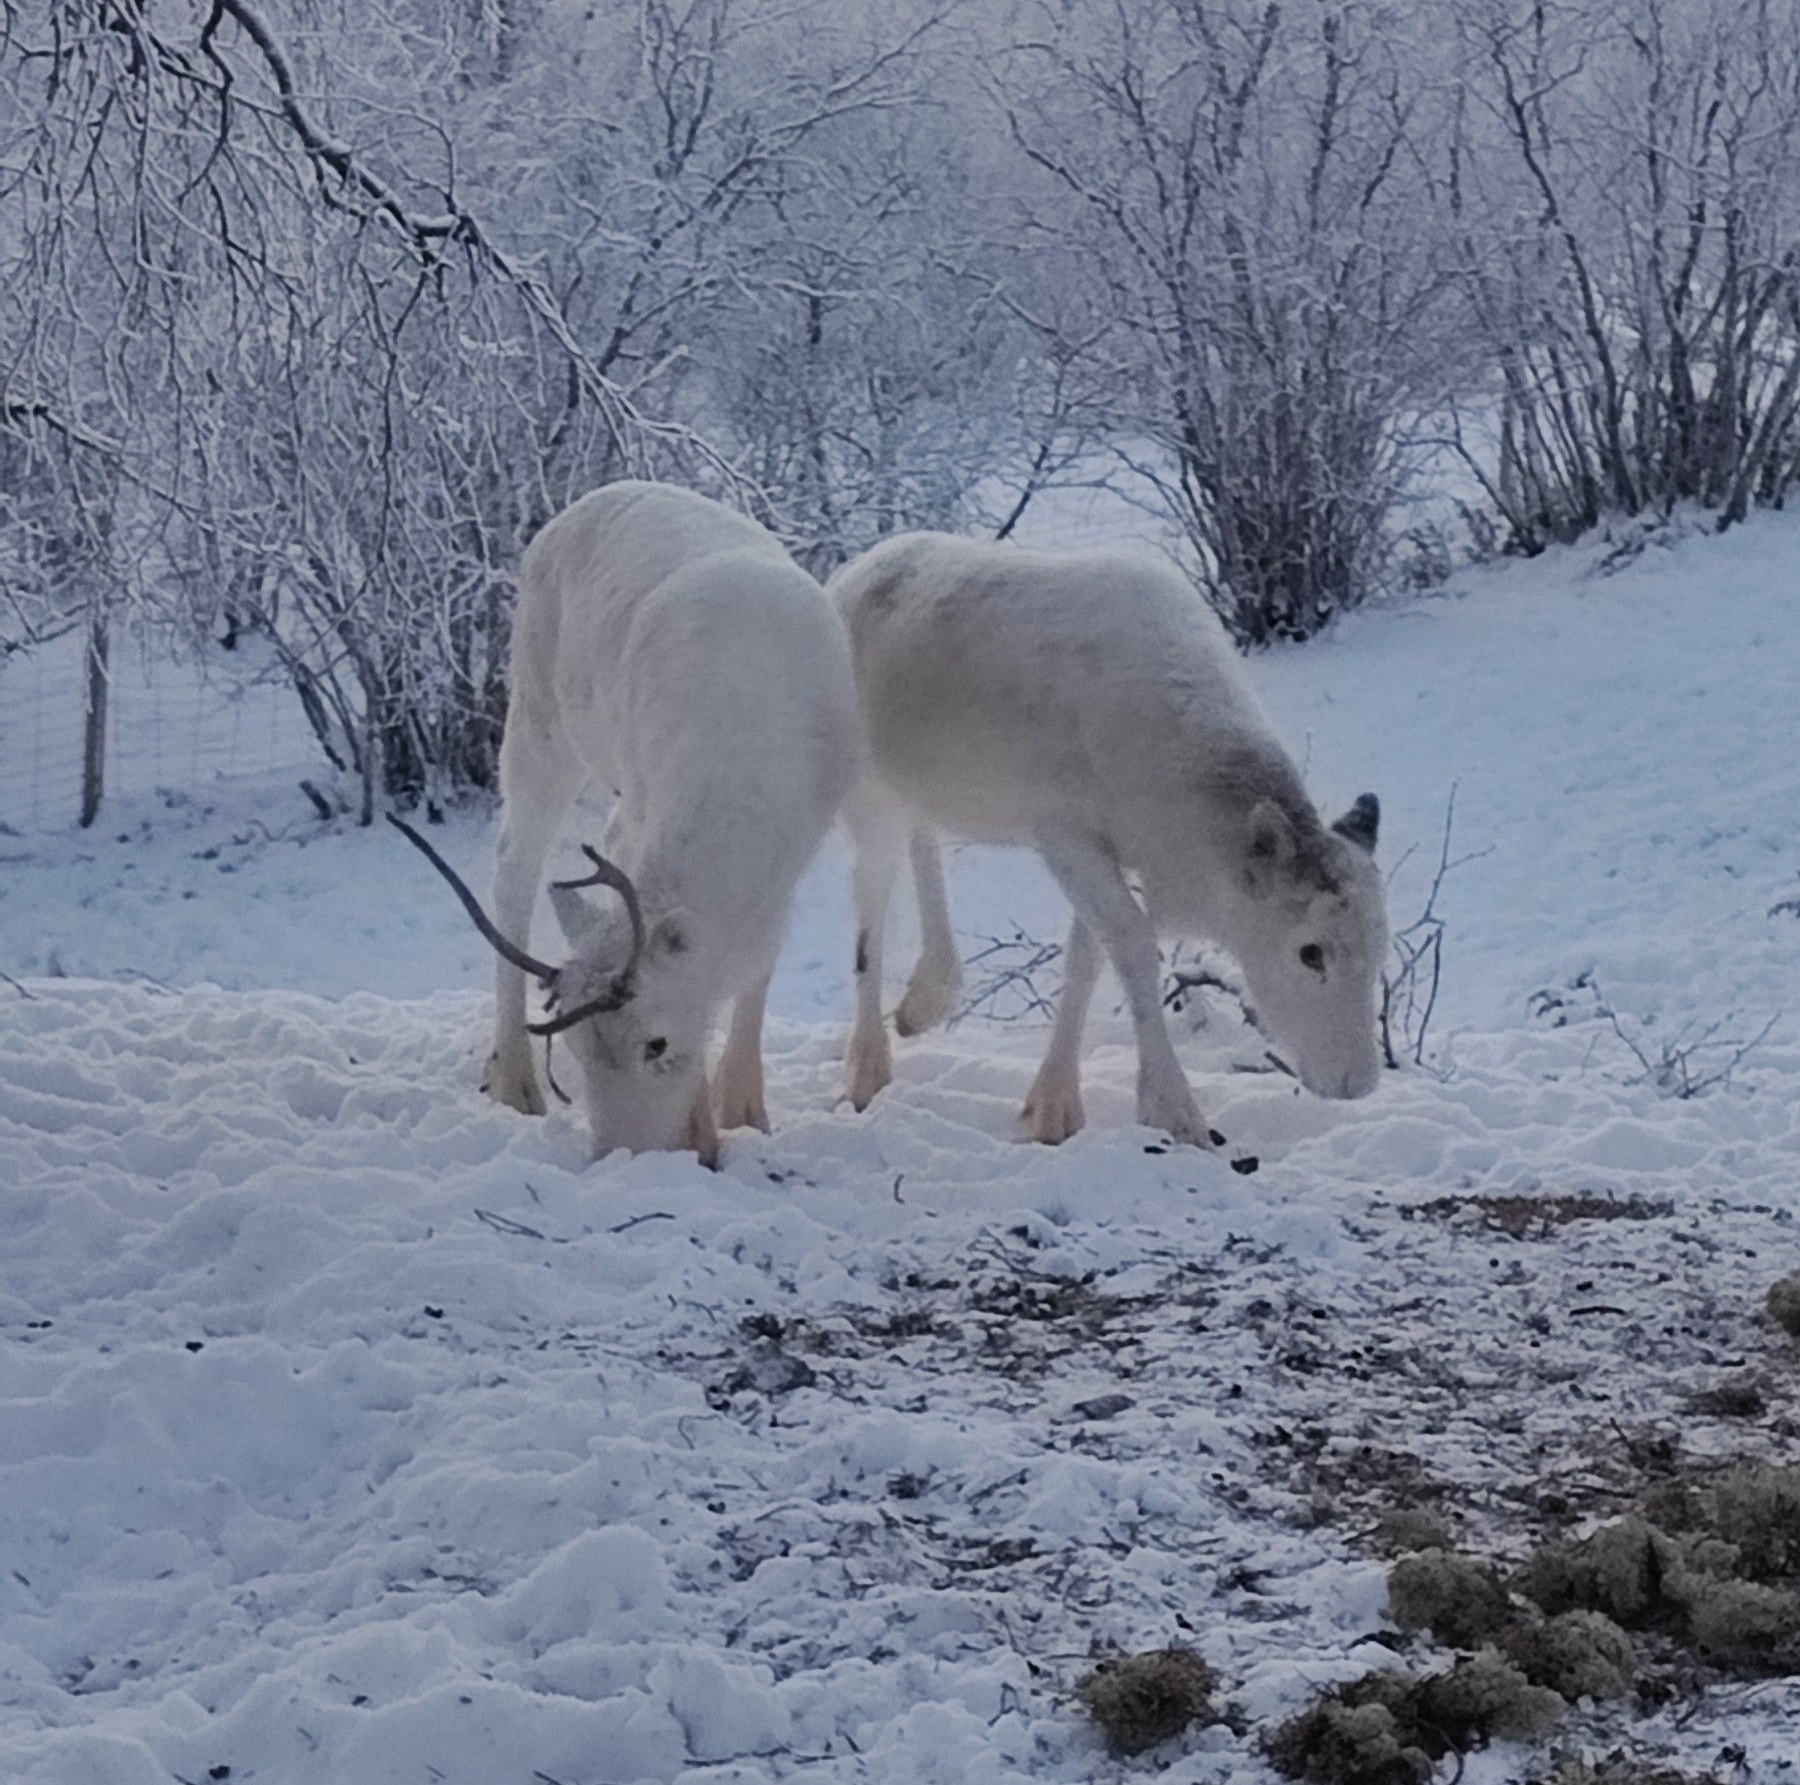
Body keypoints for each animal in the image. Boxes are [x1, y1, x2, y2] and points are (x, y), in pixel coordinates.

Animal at [393, 480, 860, 1167]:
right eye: (577, 1049)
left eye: (657, 1043)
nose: (622, 1159)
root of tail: (577, 507)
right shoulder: (644, 804)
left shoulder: (799, 851)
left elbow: (759, 964)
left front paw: (745, 1115)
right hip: (539, 715)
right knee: (514, 863)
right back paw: (515, 1081)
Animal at [828, 532, 1389, 1148]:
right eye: (1310, 952)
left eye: (1381, 944)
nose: (1357, 1084)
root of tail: (845, 579)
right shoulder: (1066, 838)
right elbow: (1135, 948)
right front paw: (1175, 1113)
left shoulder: (1106, 855)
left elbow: (1086, 962)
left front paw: (1050, 1111)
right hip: (869, 799)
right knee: (868, 914)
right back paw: (867, 1072)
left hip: (916, 791)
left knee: (922, 840)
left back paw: (924, 1003)